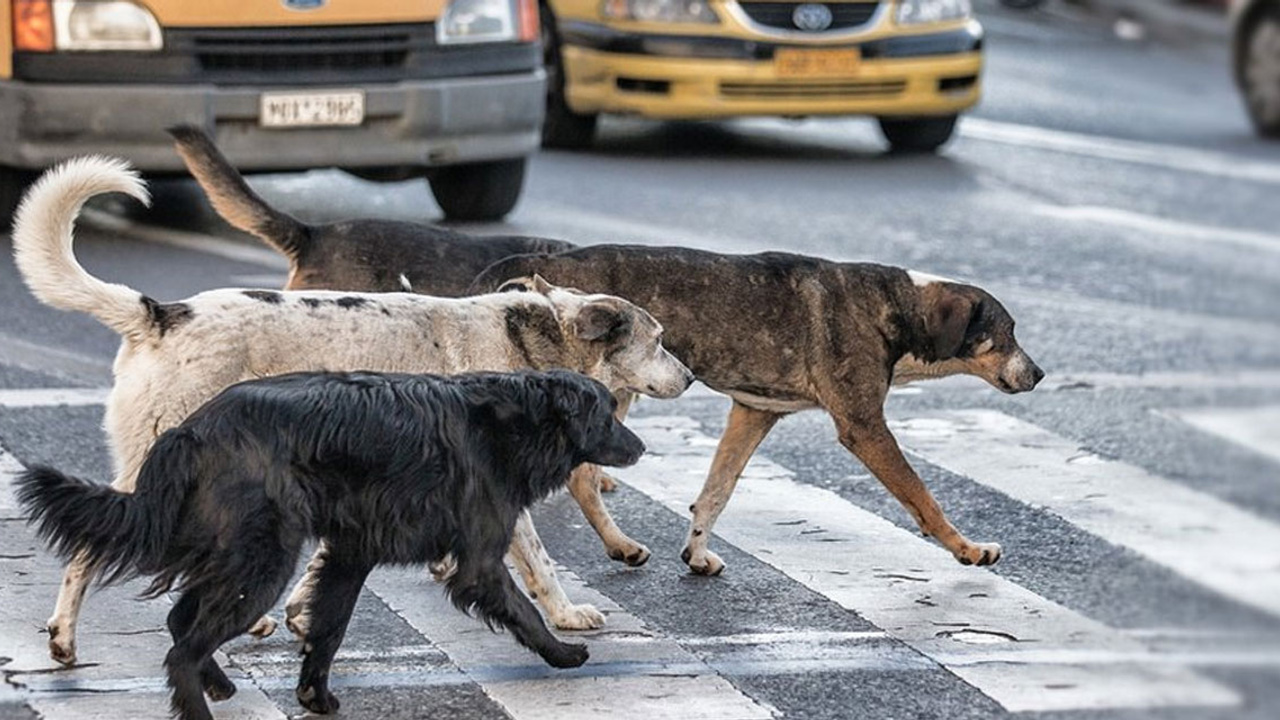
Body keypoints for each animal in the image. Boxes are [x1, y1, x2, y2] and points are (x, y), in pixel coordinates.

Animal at [12, 156, 691, 661]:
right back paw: (65, 638)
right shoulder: (494, 491)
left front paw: (298, 612)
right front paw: (567, 615)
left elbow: (322, 565)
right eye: (658, 339)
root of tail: (160, 313)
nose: (689, 377)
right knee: (92, 547)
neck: (534, 344)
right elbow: (541, 564)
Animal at [16, 368, 645, 717]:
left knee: (181, 621)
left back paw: (219, 683)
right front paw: (563, 654)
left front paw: (314, 697)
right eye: (608, 413)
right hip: (264, 559)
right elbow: (525, 610)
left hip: (239, 553)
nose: (641, 447)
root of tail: (191, 428)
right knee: (182, 648)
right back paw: (197, 704)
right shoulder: (481, 561)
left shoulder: (349, 555)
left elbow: (329, 629)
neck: (518, 420)